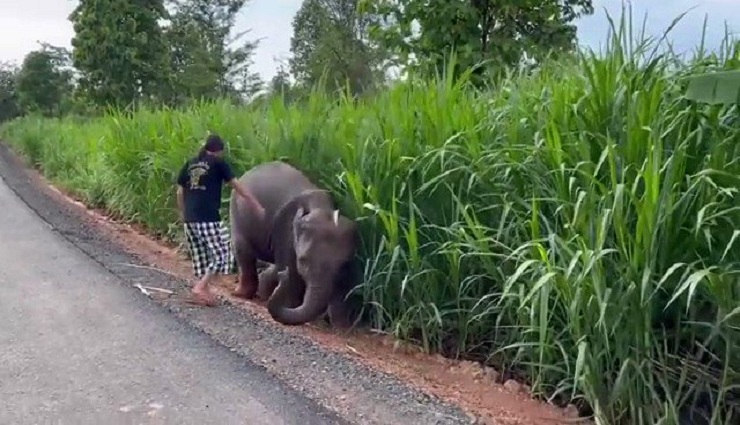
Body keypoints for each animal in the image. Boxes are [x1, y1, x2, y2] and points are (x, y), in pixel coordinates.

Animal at [229, 161, 358, 327]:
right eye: (303, 261)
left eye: (343, 265)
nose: (282, 277)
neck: (321, 207)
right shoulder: (285, 232)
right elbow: (291, 274)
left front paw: (340, 326)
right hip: (236, 211)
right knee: (243, 251)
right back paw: (241, 293)